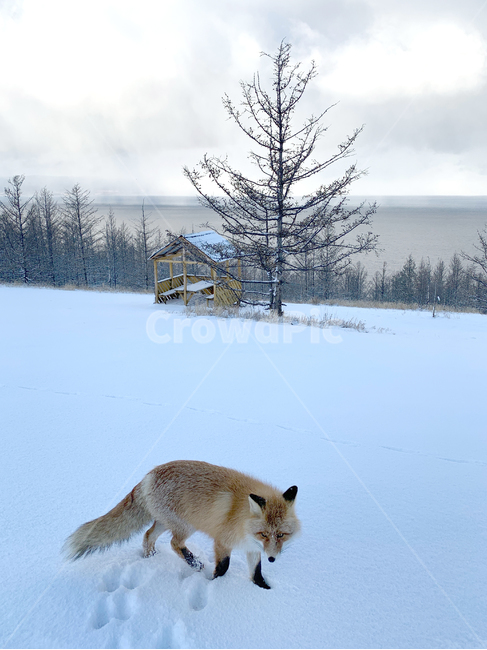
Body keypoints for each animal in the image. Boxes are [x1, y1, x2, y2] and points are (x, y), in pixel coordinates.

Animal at [64, 460, 300, 589]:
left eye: (281, 535)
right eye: (264, 534)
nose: (273, 558)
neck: (242, 519)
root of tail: (149, 475)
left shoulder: (252, 548)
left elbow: (256, 573)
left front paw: (265, 589)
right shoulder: (222, 542)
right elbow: (223, 568)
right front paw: (214, 584)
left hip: (165, 522)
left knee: (148, 535)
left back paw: (150, 556)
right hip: (187, 526)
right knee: (174, 544)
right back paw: (194, 563)